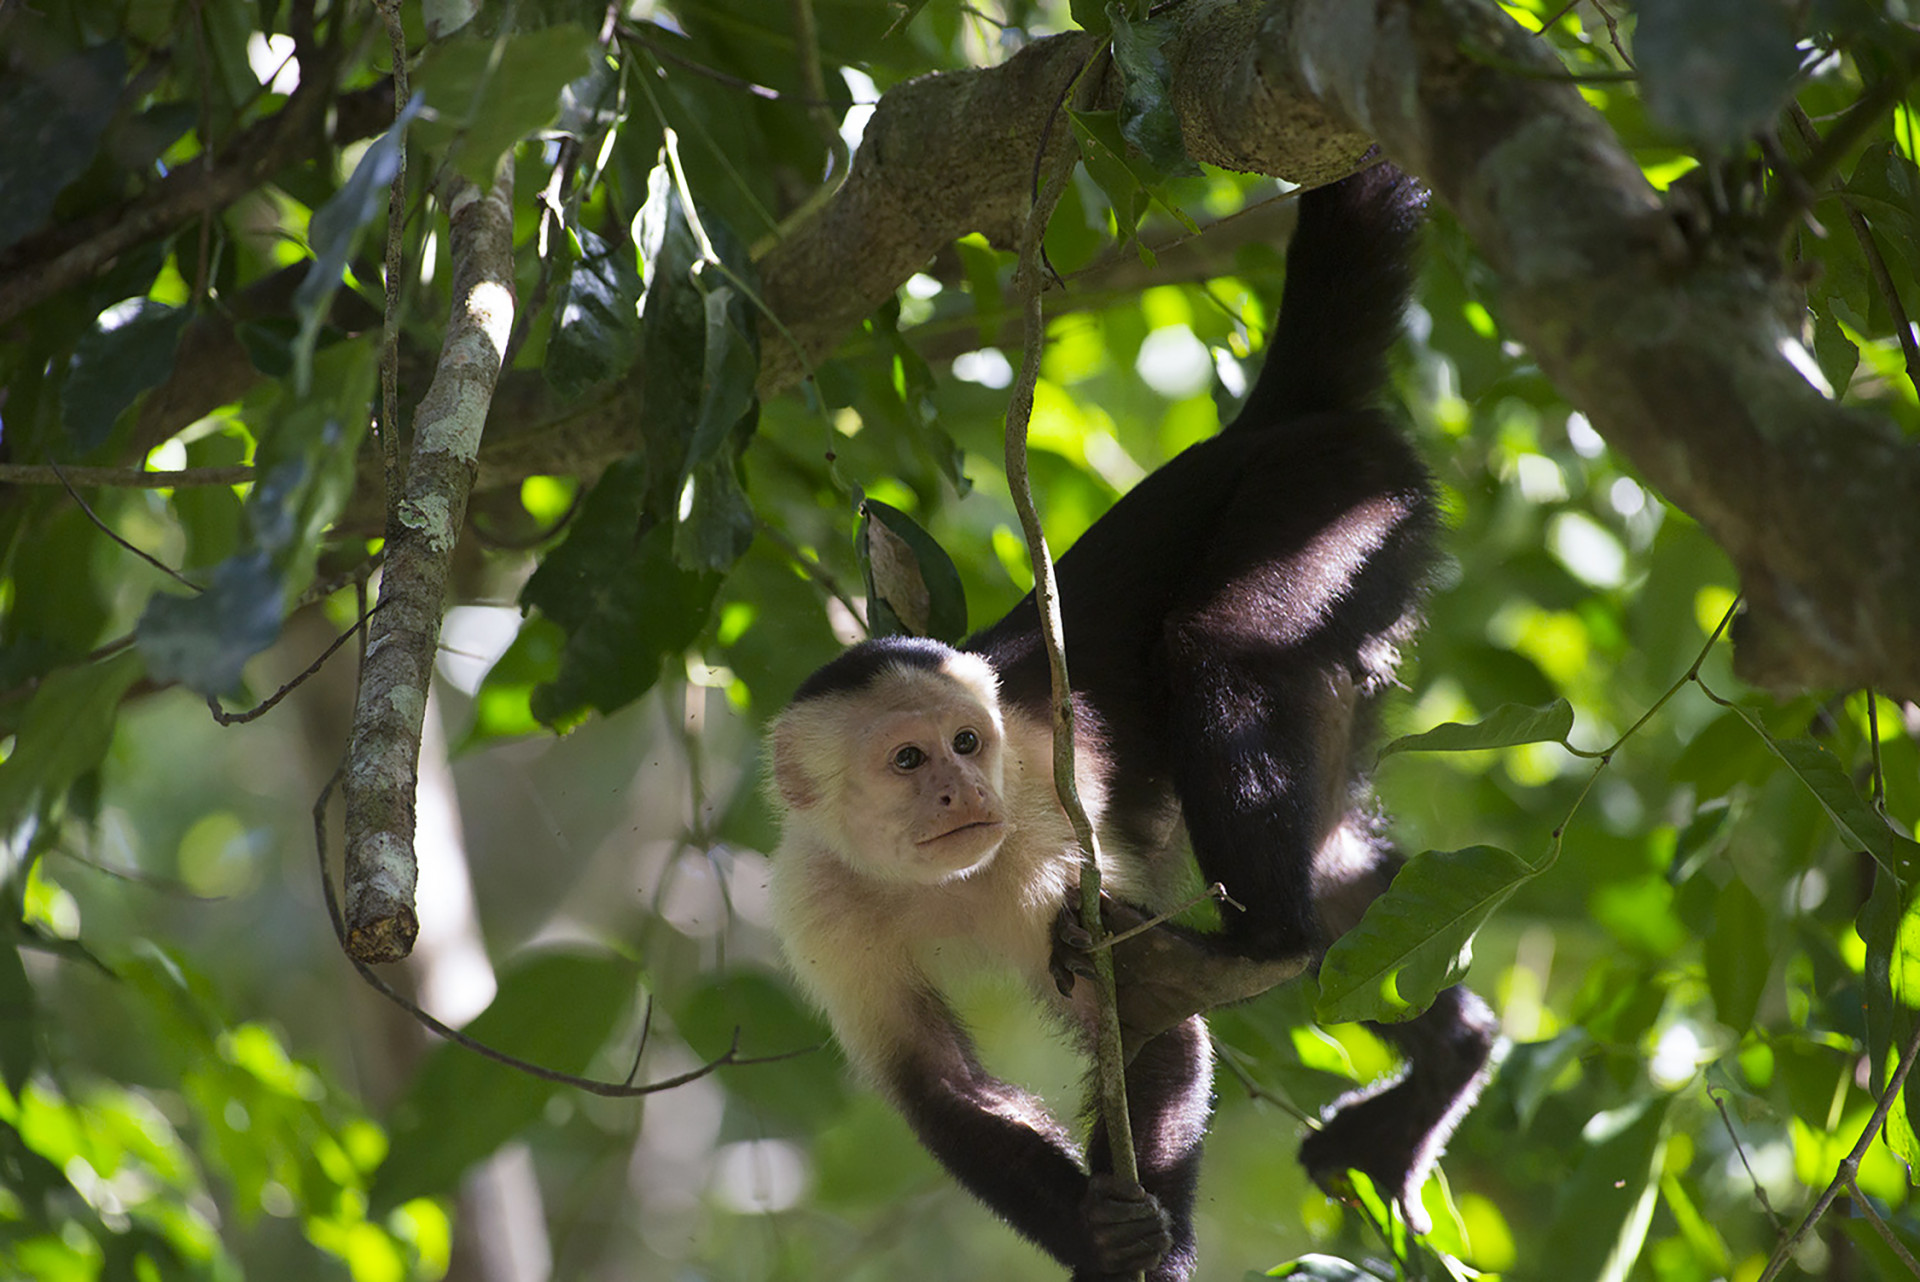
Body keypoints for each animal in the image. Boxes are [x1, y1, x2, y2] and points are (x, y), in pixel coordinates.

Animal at [764, 163, 1497, 1282]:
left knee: (1219, 653)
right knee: (1344, 882)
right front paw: (1097, 1236)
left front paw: (1155, 1242)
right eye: (908, 759)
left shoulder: (1041, 833)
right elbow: (939, 1094)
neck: (937, 881)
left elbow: (1152, 1037)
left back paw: (1256, 946)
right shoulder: (816, 906)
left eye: (969, 744)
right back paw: (1448, 1051)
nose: (961, 788)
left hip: (1334, 501)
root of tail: (1265, 424)